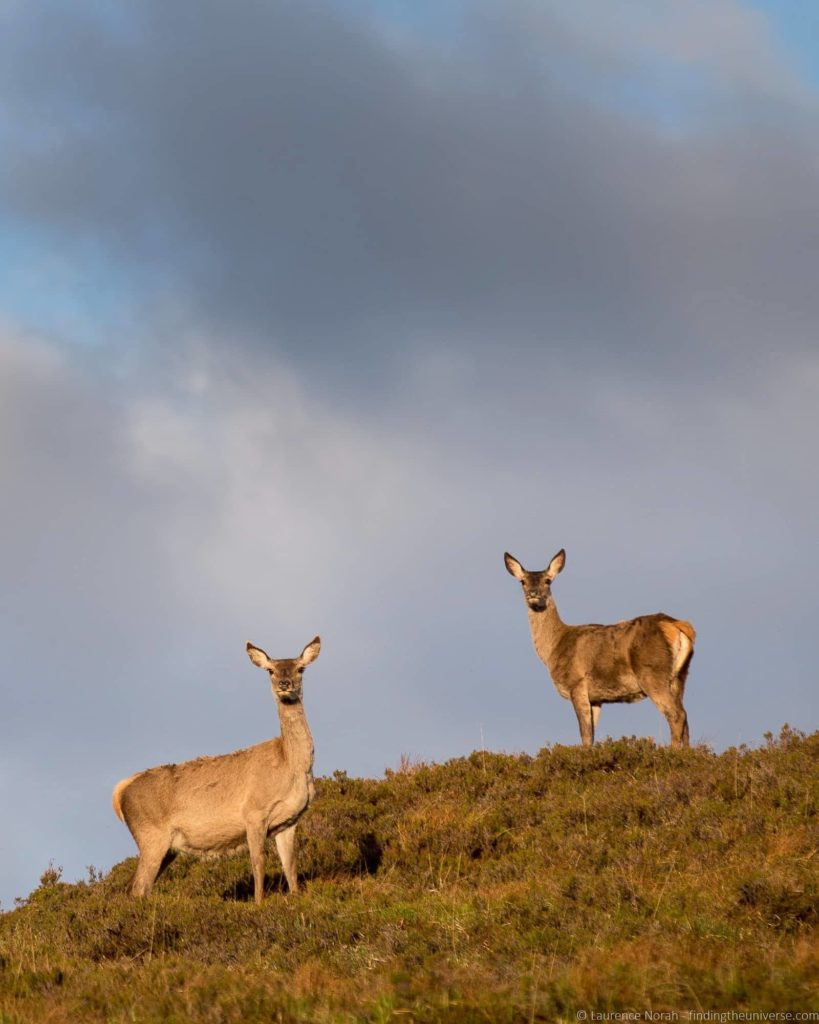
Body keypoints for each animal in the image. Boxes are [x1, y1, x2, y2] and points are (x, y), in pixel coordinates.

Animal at [111, 634, 319, 901]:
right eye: (270, 670)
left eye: (300, 668)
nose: (285, 684)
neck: (292, 767)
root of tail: (119, 793)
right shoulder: (253, 813)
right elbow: (258, 863)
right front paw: (259, 903)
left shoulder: (289, 821)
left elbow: (291, 866)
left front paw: (296, 897)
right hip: (150, 835)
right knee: (138, 887)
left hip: (167, 847)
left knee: (137, 887)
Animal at [501, 548, 696, 749]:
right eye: (523, 581)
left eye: (548, 580)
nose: (533, 593)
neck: (553, 648)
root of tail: (676, 625)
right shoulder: (596, 698)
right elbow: (592, 735)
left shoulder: (576, 684)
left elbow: (585, 735)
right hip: (680, 676)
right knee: (686, 717)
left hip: (652, 672)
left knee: (676, 715)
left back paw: (672, 751)